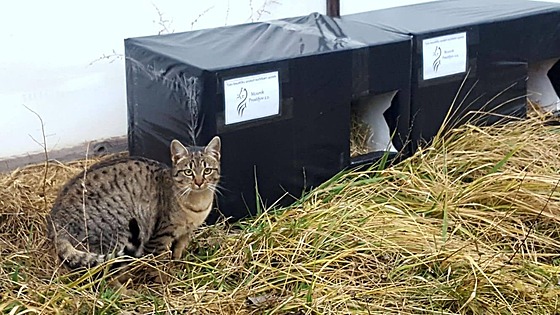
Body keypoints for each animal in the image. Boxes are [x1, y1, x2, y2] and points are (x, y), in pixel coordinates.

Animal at [46, 137, 221, 270]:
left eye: (207, 170)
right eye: (188, 172)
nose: (199, 182)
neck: (198, 204)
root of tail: (56, 224)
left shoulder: (184, 235)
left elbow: (177, 253)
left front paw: (178, 267)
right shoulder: (158, 238)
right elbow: (157, 267)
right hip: (119, 231)